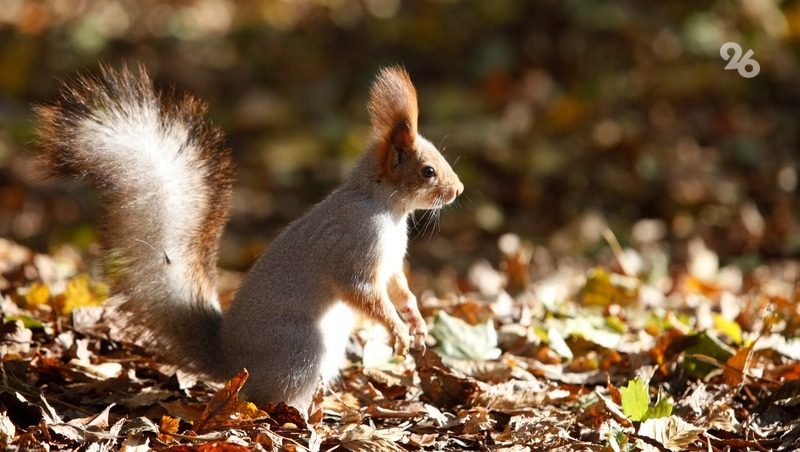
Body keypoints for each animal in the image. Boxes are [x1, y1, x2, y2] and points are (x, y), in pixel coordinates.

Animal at [36, 64, 462, 414]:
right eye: (427, 171)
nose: (457, 190)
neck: (385, 206)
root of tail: (231, 360)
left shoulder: (389, 264)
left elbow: (399, 286)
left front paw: (416, 322)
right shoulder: (355, 246)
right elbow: (364, 293)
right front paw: (398, 330)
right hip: (301, 347)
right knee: (268, 398)